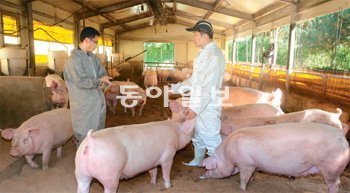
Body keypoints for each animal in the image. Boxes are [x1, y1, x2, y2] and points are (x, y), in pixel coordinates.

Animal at [200, 122, 350, 193]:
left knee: (335, 183)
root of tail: (340, 132)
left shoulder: (246, 164)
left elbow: (243, 178)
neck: (227, 155)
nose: (202, 176)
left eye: (209, 168)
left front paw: (241, 189)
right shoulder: (253, 164)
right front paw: (252, 181)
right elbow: (251, 174)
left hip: (332, 167)